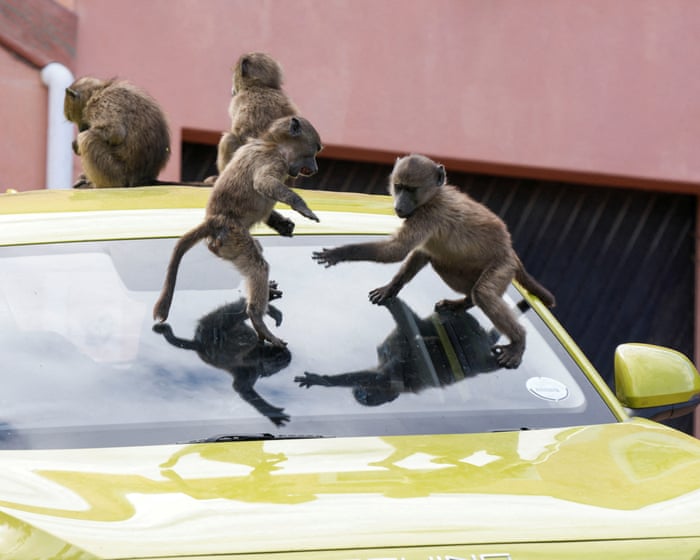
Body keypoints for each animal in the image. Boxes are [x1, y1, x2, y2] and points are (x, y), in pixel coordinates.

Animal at [153, 115, 322, 347]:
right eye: (315, 151)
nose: (314, 168)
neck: (272, 142)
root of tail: (213, 221)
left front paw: (282, 224)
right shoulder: (274, 160)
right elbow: (263, 182)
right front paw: (302, 207)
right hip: (232, 237)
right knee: (258, 266)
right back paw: (257, 319)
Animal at [312, 154, 555, 369]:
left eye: (411, 189)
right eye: (399, 187)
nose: (399, 206)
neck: (433, 197)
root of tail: (509, 248)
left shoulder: (428, 214)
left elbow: (397, 250)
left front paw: (338, 253)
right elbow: (419, 253)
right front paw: (391, 288)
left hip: (502, 266)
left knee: (484, 293)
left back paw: (518, 341)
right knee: (446, 266)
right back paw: (464, 303)